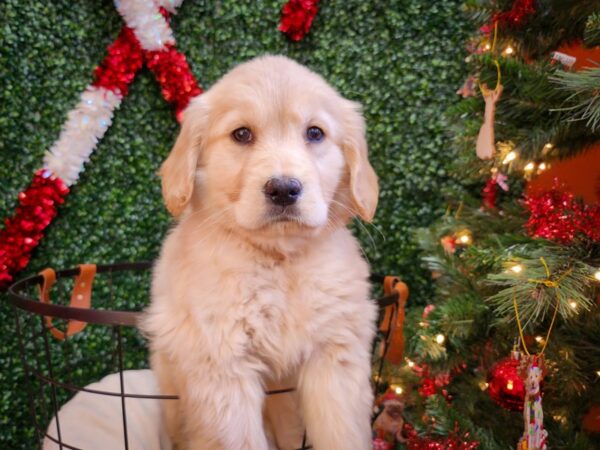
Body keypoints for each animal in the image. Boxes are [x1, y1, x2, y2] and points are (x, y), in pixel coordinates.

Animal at [143, 53, 380, 450]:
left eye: (315, 133)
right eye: (242, 134)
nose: (284, 189)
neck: (279, 261)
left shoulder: (335, 356)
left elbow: (342, 433)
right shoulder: (223, 370)